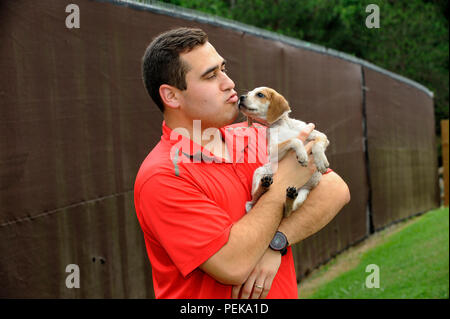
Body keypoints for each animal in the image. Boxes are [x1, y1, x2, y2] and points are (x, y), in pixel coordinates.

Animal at [239, 87, 330, 218]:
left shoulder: (320, 136)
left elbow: (317, 145)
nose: (240, 97)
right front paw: (302, 154)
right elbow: (294, 140)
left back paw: (290, 196)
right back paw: (264, 185)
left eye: (260, 94)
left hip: (302, 194)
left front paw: (321, 161)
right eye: (248, 93)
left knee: (287, 210)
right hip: (260, 171)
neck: (281, 125)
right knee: (255, 198)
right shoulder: (273, 152)